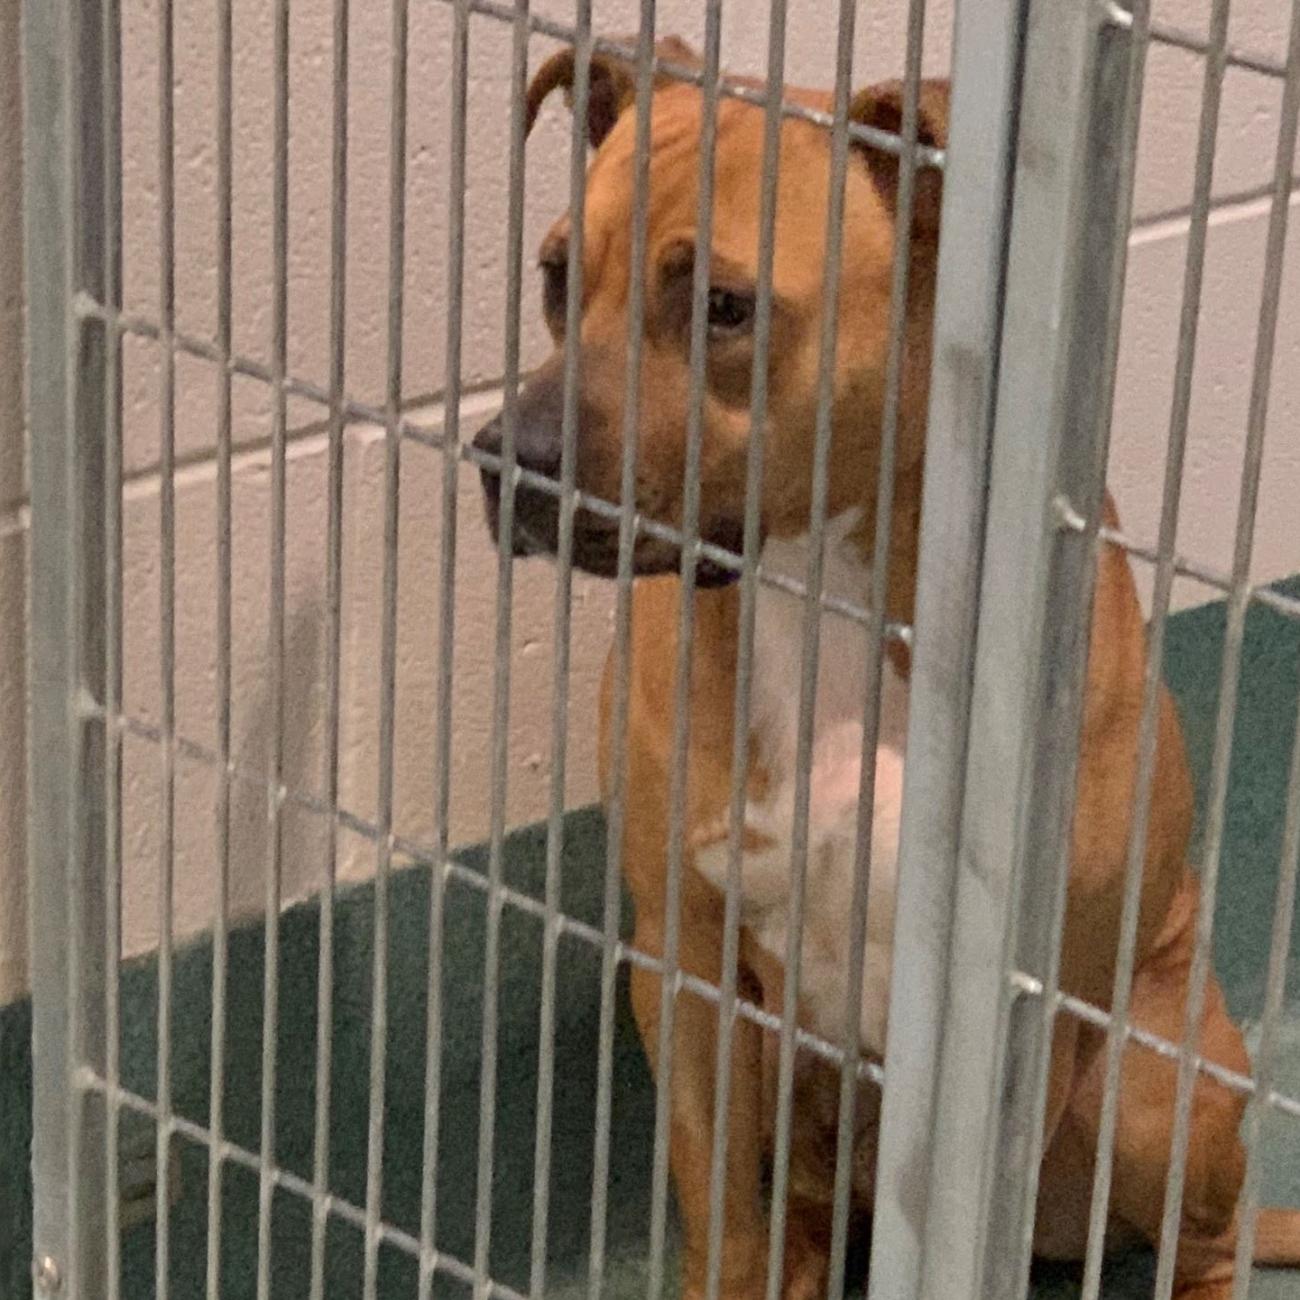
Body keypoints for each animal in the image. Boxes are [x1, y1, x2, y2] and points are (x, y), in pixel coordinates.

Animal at [473, 38, 1300, 1300]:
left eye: (723, 306)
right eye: (558, 274)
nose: (507, 462)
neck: (817, 588)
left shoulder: (1016, 1033)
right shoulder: (687, 965)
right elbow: (724, 1219)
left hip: (1154, 1096)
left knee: (1197, 1246)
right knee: (799, 1216)